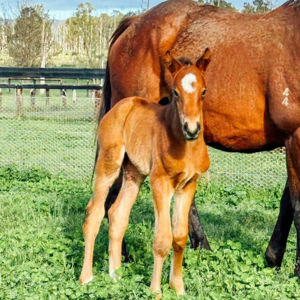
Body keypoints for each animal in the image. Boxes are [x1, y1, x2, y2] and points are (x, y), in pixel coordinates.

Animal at [79, 49, 211, 296]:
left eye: (204, 91)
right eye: (175, 92)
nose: (191, 129)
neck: (184, 145)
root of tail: (120, 107)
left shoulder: (188, 185)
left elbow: (180, 236)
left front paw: (178, 288)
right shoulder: (161, 181)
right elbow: (162, 239)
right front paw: (156, 292)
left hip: (134, 174)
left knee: (117, 215)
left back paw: (116, 276)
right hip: (109, 165)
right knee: (94, 214)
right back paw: (86, 278)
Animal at [102, 0, 300, 276]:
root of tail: (134, 24)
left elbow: (287, 203)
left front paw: (273, 259)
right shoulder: (295, 136)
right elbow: (298, 205)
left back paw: (200, 247)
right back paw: (122, 257)